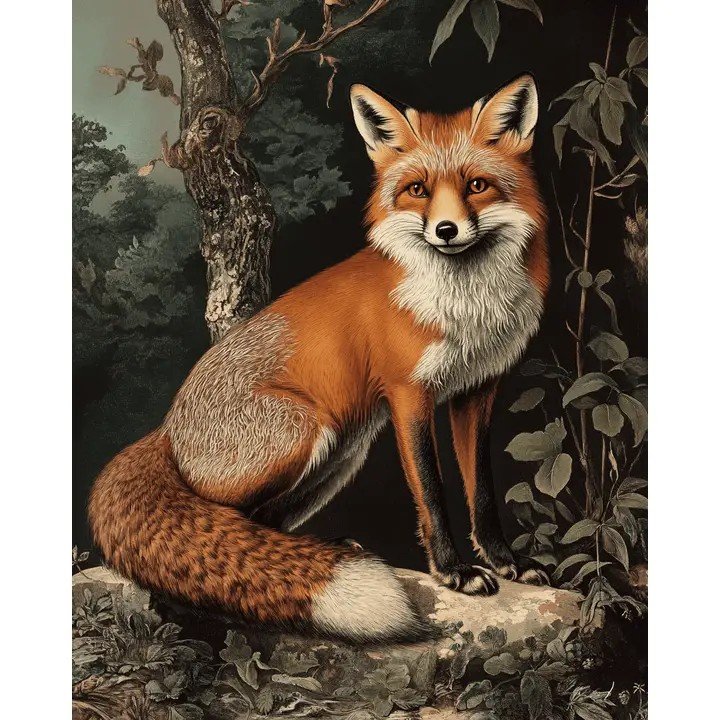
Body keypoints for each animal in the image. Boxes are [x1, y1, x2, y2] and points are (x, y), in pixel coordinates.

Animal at [89, 73, 550, 644]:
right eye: (417, 190)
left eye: (477, 186)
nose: (446, 230)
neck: (465, 306)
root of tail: (167, 428)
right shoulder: (408, 393)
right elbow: (433, 493)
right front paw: (453, 571)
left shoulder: (477, 389)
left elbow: (481, 490)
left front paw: (506, 561)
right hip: (305, 430)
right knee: (222, 521)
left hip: (342, 451)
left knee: (264, 523)